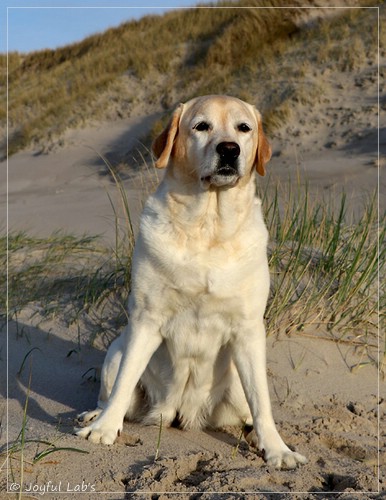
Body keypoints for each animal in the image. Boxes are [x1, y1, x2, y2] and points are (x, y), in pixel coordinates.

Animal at [76, 96, 308, 468]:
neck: (208, 226)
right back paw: (95, 415)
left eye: (244, 128)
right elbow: (125, 381)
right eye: (201, 126)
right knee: (113, 389)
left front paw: (277, 449)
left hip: (238, 381)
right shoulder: (146, 319)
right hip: (115, 351)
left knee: (251, 407)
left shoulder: (248, 328)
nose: (229, 149)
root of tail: (181, 413)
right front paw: (104, 430)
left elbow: (262, 403)